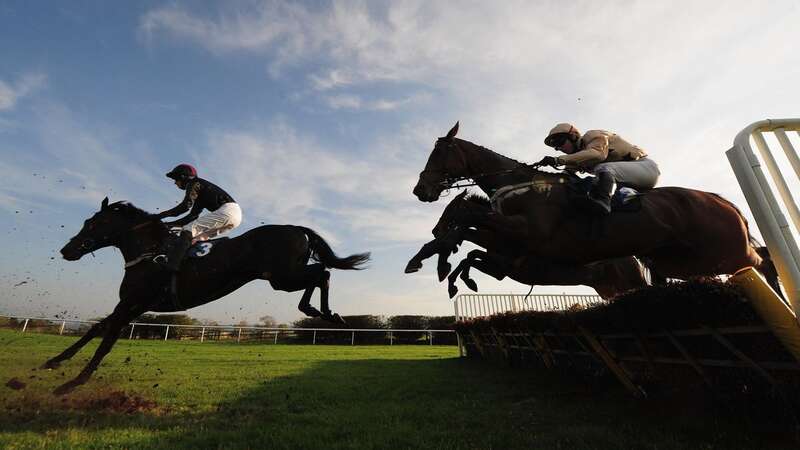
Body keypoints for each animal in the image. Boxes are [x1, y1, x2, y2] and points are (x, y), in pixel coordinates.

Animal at [406, 190, 648, 298]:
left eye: (450, 209)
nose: (435, 230)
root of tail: (633, 259)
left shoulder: (506, 267)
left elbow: (470, 256)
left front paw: (459, 281)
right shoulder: (500, 269)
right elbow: (471, 256)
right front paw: (459, 281)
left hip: (629, 283)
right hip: (607, 289)